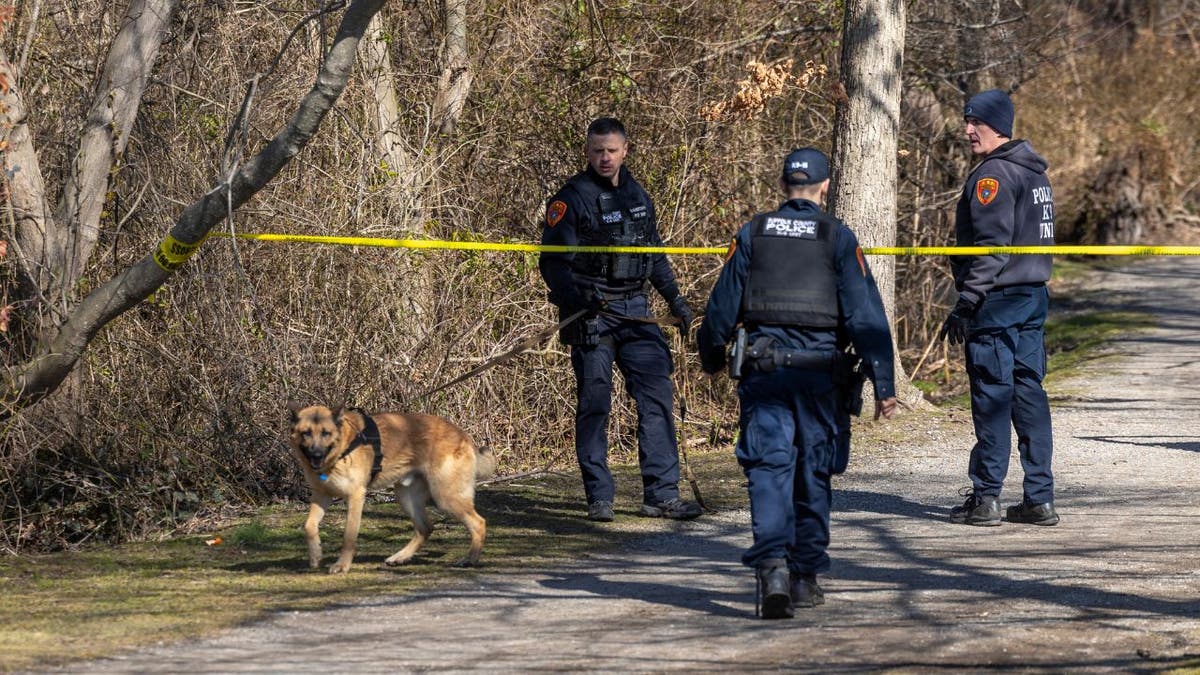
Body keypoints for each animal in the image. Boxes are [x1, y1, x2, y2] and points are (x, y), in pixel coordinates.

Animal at [288, 403, 494, 571]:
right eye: (306, 433)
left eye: (325, 433)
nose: (316, 454)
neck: (344, 447)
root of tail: (464, 435)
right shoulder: (321, 495)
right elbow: (309, 526)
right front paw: (316, 555)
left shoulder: (355, 497)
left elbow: (349, 536)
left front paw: (342, 565)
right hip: (406, 496)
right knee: (425, 528)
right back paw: (400, 557)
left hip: (445, 497)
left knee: (478, 523)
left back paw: (470, 559)